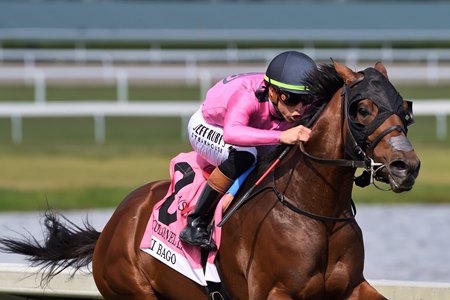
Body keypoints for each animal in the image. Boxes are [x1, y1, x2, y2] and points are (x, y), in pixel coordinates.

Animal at [1, 60, 420, 298]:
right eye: (362, 109)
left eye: (405, 108)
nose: (407, 166)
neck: (314, 211)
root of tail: (112, 227)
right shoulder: (273, 292)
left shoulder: (352, 287)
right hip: (132, 289)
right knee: (235, 158)